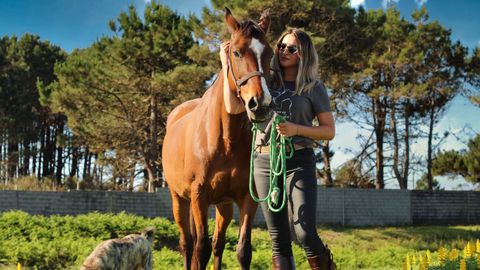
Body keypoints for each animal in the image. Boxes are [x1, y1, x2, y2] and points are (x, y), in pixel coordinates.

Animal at [162, 7, 272, 270]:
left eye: (271, 53)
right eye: (236, 52)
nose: (260, 104)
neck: (225, 140)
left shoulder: (246, 199)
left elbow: (242, 251)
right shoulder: (199, 197)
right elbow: (199, 250)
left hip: (223, 206)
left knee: (217, 244)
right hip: (179, 199)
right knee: (187, 244)